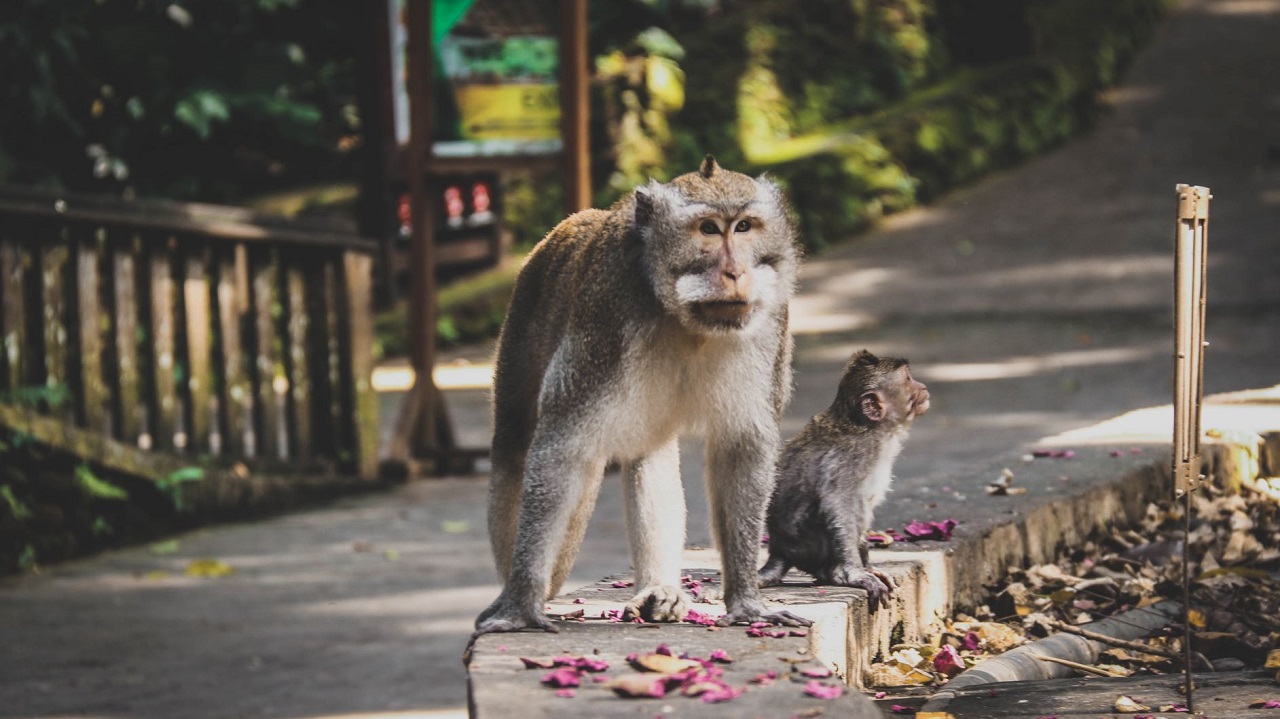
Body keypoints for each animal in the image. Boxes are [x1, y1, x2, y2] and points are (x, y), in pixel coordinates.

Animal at [474, 156, 812, 635]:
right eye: (709, 229)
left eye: (745, 227)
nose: (735, 273)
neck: (681, 315)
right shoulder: (605, 318)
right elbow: (562, 451)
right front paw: (521, 603)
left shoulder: (770, 321)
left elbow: (741, 449)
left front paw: (746, 600)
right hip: (521, 322)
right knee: (513, 446)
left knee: (648, 450)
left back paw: (657, 591)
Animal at [758, 350, 930, 610]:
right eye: (909, 379)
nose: (923, 386)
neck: (867, 427)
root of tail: (779, 550)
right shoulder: (855, 455)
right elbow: (839, 505)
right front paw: (854, 573)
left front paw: (867, 567)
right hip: (811, 546)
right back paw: (835, 574)